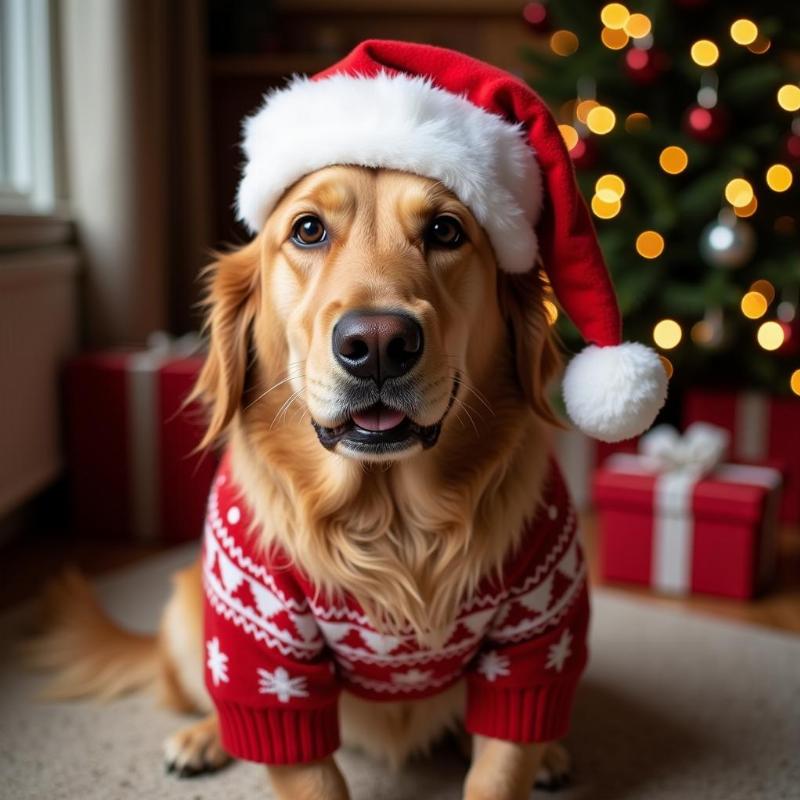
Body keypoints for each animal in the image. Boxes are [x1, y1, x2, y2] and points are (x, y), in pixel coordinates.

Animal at [31, 166, 576, 796]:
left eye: (446, 230)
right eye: (308, 230)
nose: (378, 344)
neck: (393, 522)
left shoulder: (537, 637)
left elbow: (503, 761)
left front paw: (528, 756)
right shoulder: (267, 659)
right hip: (190, 620)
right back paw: (202, 739)